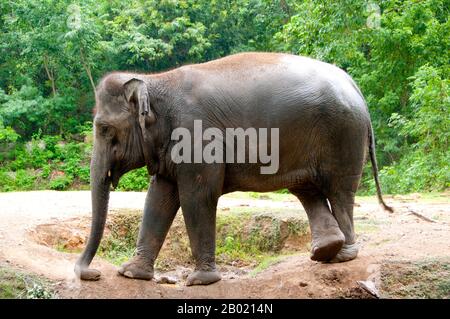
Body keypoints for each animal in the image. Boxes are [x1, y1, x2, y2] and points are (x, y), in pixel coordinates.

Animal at [74, 52, 390, 288]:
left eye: (104, 129)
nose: (92, 273)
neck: (156, 81)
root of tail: (353, 84)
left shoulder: (198, 136)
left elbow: (197, 196)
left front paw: (200, 281)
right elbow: (159, 197)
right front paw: (130, 273)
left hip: (343, 134)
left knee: (339, 192)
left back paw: (342, 256)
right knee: (306, 189)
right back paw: (325, 251)